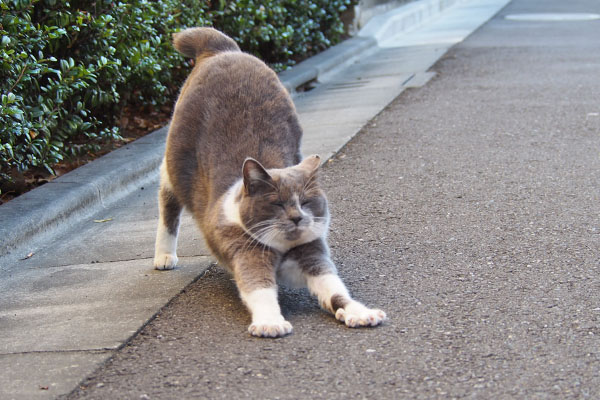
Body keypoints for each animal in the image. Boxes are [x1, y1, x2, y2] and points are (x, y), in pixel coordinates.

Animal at [154, 26, 384, 336]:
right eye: (276, 203)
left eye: (306, 202)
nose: (298, 217)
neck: (283, 249)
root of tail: (223, 49)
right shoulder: (246, 250)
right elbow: (258, 287)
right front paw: (270, 322)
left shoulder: (313, 254)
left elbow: (335, 290)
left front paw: (360, 312)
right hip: (175, 159)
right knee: (168, 200)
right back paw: (164, 257)